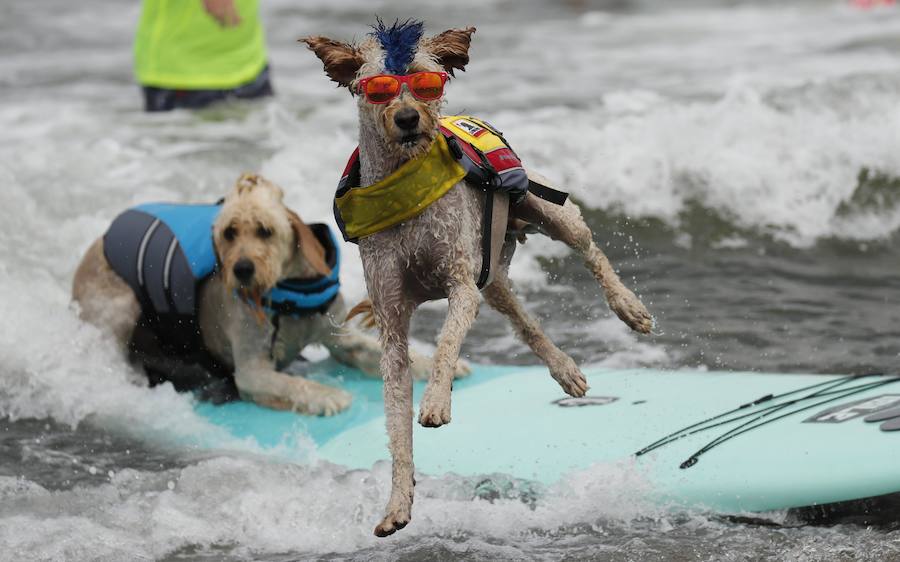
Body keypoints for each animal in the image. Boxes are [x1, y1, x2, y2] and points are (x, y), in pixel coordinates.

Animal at [71, 173, 440, 414]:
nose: (242, 270)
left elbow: (380, 352)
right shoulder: (252, 370)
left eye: (265, 231)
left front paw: (429, 363)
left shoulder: (341, 339)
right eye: (229, 233)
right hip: (121, 306)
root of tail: (98, 241)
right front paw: (325, 395)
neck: (292, 296)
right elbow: (289, 384)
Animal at [306, 19, 652, 532]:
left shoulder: (460, 285)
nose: (407, 119)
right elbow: (396, 420)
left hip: (546, 210)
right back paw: (566, 371)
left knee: (590, 250)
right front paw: (397, 503)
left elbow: (447, 344)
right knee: (524, 323)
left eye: (426, 83)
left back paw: (629, 307)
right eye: (378, 88)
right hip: (494, 278)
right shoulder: (392, 320)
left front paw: (436, 401)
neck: (404, 185)